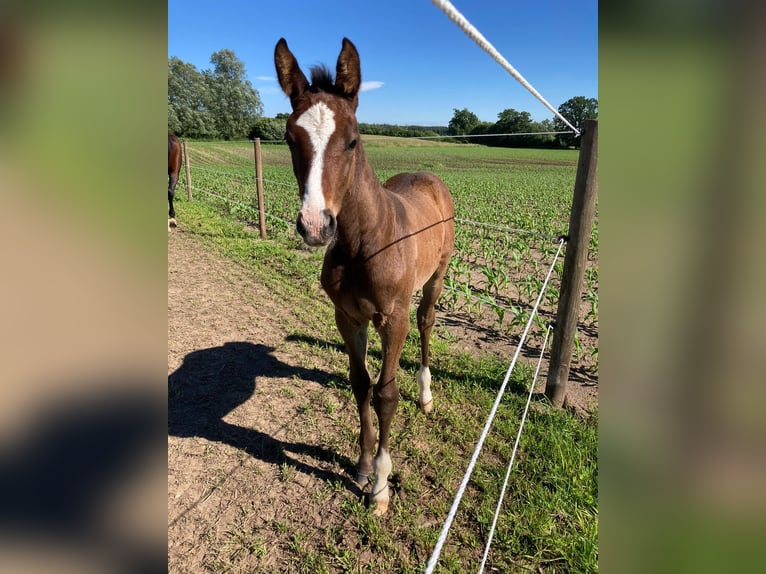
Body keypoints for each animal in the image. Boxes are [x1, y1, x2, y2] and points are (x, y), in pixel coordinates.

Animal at [276, 40, 456, 516]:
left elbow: (386, 395)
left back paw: (426, 394)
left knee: (427, 322)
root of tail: (427, 176)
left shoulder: (393, 318)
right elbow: (360, 385)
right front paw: (360, 466)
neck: (364, 244)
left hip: (437, 276)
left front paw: (379, 486)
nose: (315, 226)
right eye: (289, 138)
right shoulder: (348, 317)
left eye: (353, 139)